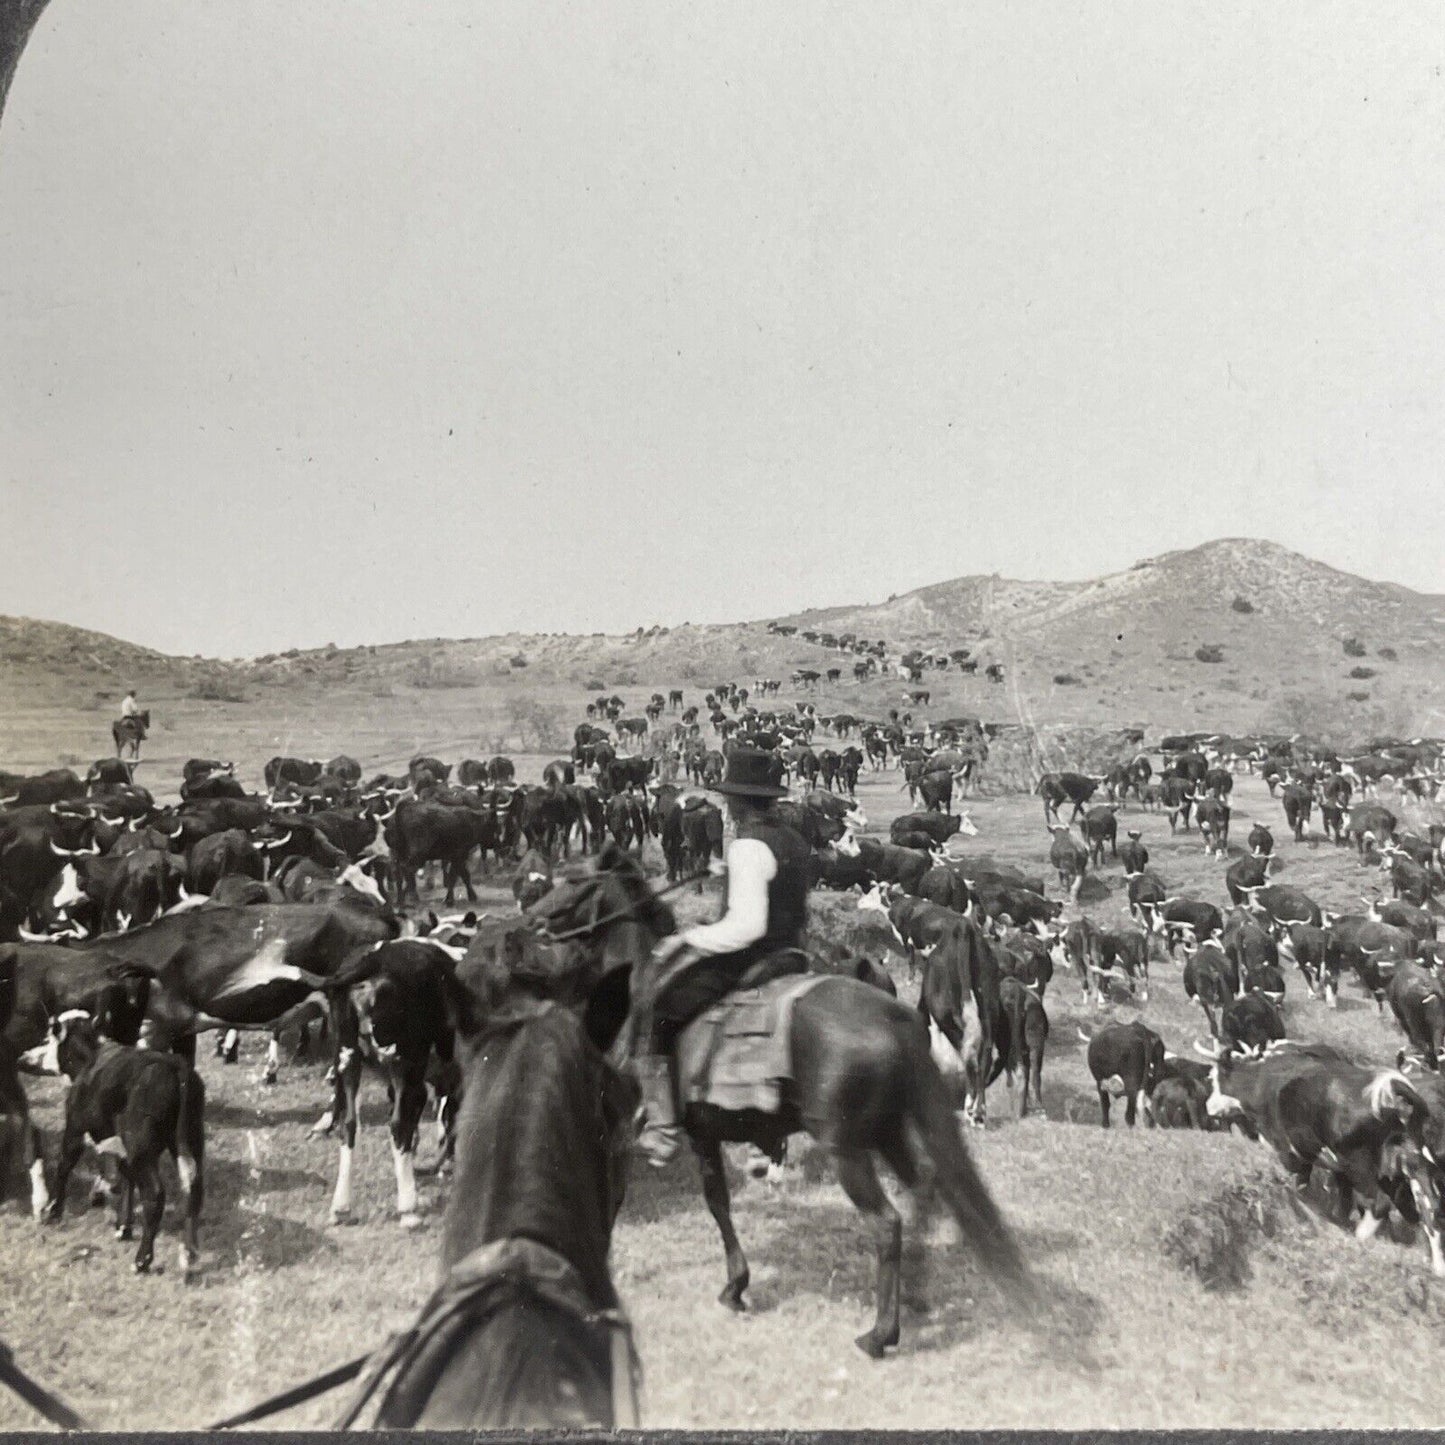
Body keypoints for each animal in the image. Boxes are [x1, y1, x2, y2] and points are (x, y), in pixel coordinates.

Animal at [335, 913, 641, 1421]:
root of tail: (372, 964)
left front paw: (441, 1162)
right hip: (405, 1062)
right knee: (397, 1125)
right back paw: (408, 1208)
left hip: (350, 1063)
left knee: (349, 1123)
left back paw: (342, 1205)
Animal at [525, 843, 1034, 1358]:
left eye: (571, 881)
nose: (530, 921)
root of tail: (894, 1021)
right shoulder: (703, 1134)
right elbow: (716, 1201)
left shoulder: (631, 1132)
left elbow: (655, 1202)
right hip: (887, 1132)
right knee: (923, 1191)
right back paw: (914, 1294)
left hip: (847, 1149)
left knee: (886, 1222)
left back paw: (879, 1333)